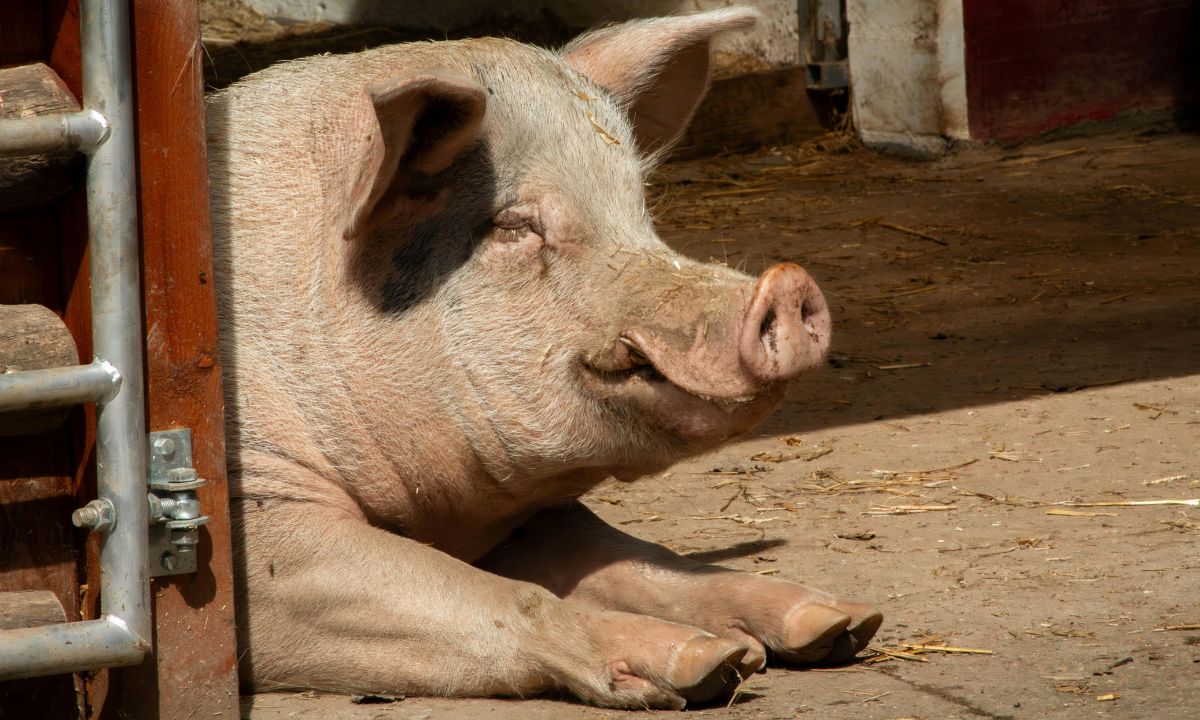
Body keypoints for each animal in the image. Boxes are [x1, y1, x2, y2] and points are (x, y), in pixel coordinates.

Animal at [207, 6, 881, 710]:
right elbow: (492, 593)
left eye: (639, 210)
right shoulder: (255, 515)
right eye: (513, 224)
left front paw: (838, 622)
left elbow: (631, 555)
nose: (786, 284)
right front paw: (711, 661)